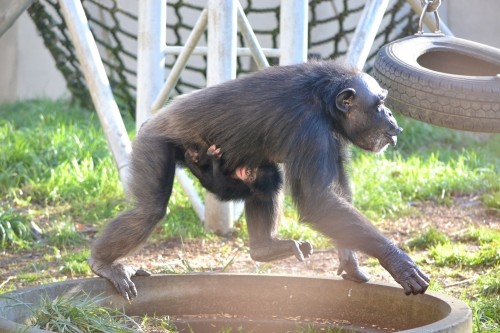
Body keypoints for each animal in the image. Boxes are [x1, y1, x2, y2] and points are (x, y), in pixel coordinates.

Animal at [89, 60, 430, 300]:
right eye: (379, 103)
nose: (391, 117)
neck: (323, 101)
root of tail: (153, 118)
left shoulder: (333, 136)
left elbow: (337, 193)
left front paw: (351, 262)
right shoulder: (309, 128)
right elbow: (319, 201)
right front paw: (398, 262)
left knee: (267, 180)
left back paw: (265, 248)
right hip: (154, 142)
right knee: (149, 210)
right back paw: (104, 264)